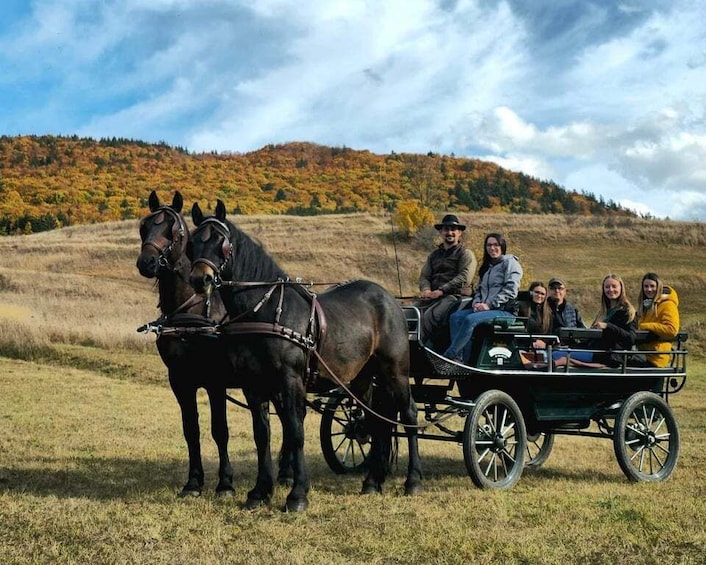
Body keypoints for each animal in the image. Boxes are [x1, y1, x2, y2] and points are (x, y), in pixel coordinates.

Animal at [187, 199, 423, 512]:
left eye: (221, 242)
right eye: (191, 243)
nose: (199, 279)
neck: (264, 311)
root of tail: (390, 299)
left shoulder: (290, 381)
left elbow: (295, 432)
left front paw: (297, 494)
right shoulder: (254, 385)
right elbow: (262, 435)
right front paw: (260, 491)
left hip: (395, 371)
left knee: (408, 414)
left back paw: (413, 481)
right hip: (362, 378)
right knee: (376, 420)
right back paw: (372, 481)